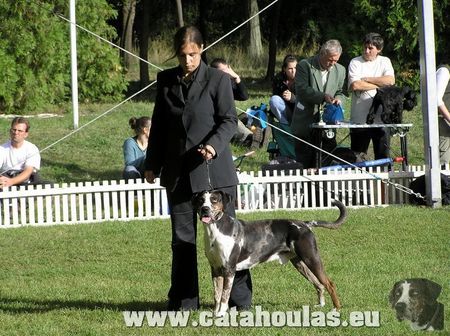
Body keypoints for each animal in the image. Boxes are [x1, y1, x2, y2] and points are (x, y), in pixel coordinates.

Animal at [193, 190, 348, 316]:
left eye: (214, 200)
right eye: (201, 200)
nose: (205, 209)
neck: (215, 230)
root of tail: (305, 224)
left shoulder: (229, 269)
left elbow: (225, 295)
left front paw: (221, 314)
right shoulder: (215, 269)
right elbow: (217, 295)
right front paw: (215, 313)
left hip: (311, 258)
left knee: (329, 283)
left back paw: (336, 309)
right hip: (300, 263)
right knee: (319, 284)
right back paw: (320, 305)